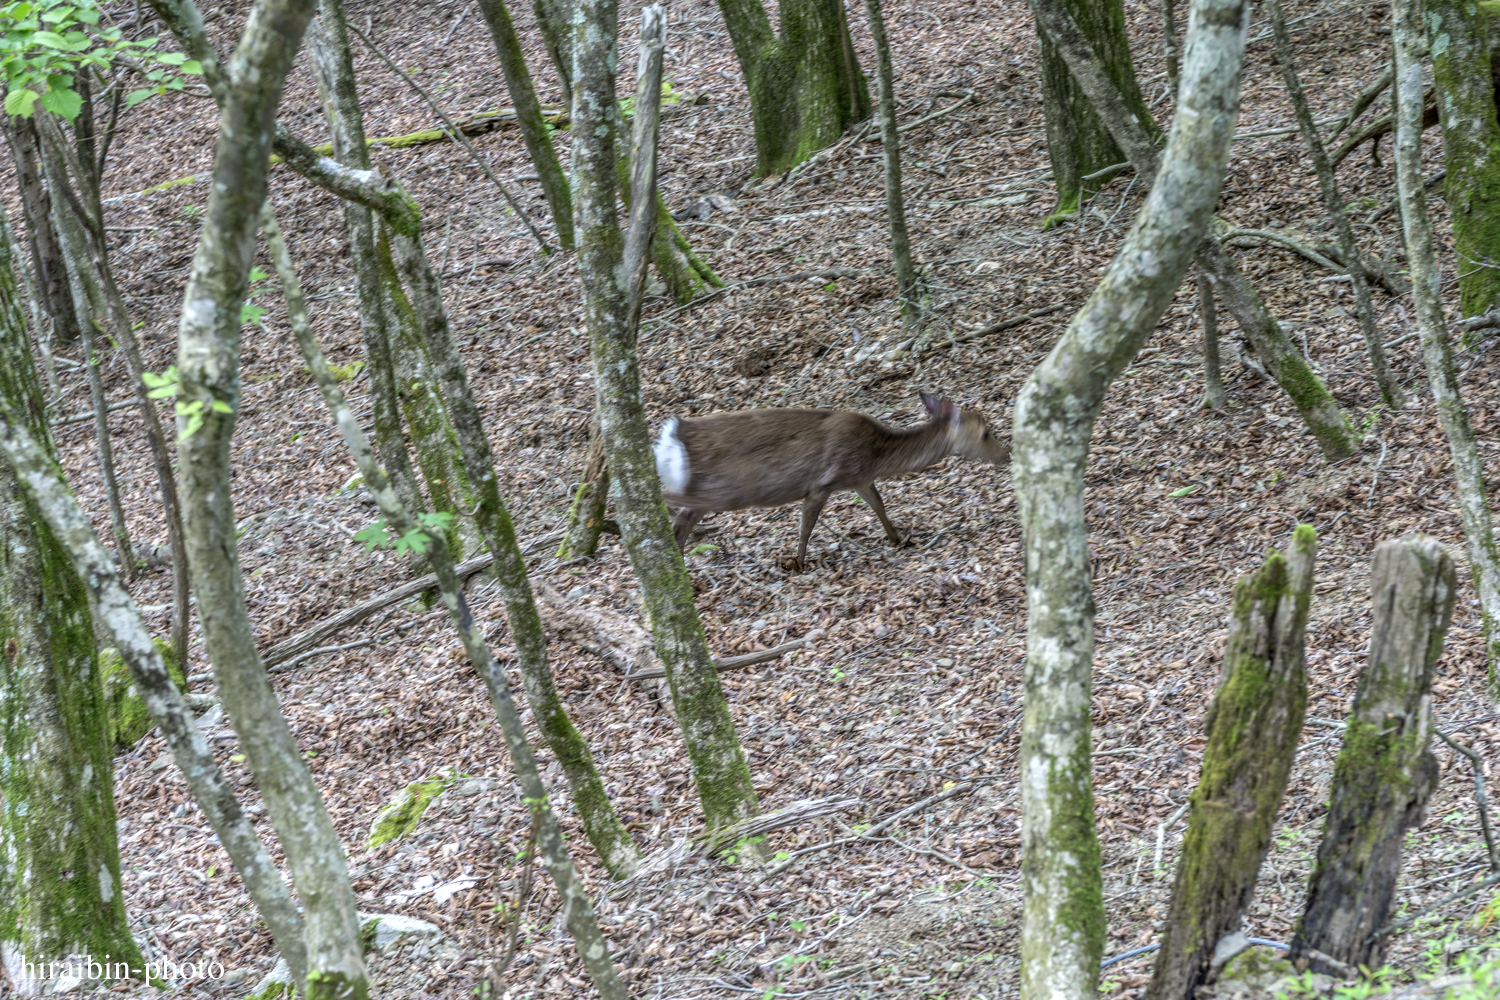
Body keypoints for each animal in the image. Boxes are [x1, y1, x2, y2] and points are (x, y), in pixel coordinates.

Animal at [654, 389, 1008, 566]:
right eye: (986, 432)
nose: (1005, 455)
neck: (876, 454)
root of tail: (673, 437)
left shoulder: (859, 479)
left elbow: (879, 505)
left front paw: (898, 539)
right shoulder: (823, 482)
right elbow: (806, 527)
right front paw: (798, 562)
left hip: (707, 492)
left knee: (682, 519)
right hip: (724, 490)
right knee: (669, 503)